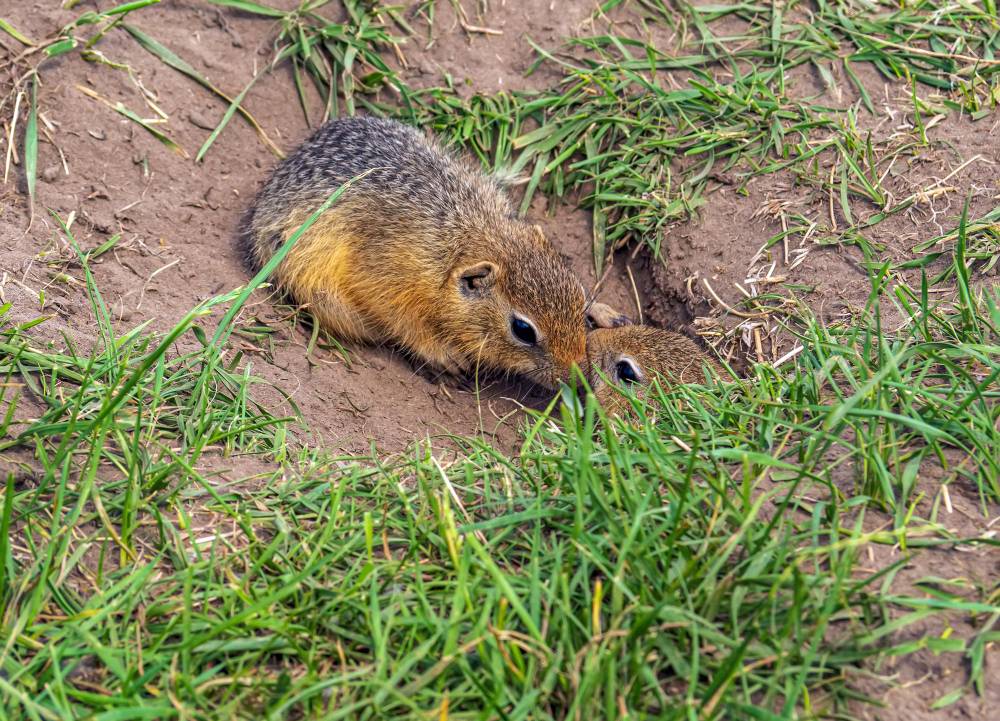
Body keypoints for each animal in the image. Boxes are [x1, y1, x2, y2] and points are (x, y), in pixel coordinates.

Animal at [244, 118, 584, 388]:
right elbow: (401, 322)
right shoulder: (385, 280)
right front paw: (443, 356)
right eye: (523, 330)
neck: (467, 232)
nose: (577, 379)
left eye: (580, 297)